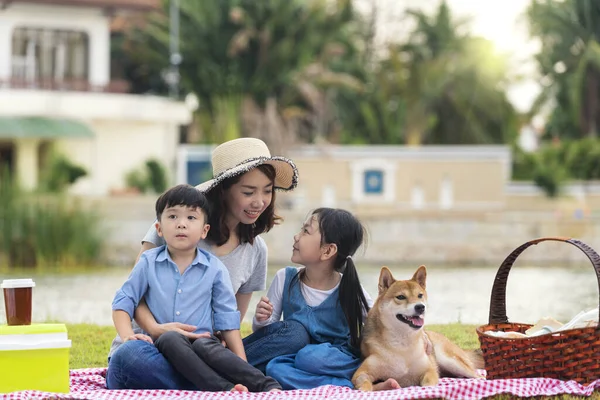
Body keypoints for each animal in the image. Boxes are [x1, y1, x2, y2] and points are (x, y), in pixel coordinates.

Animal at [352, 266, 482, 390]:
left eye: (420, 295)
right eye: (401, 297)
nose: (420, 307)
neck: (402, 345)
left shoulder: (429, 370)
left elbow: (428, 383)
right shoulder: (360, 373)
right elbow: (364, 383)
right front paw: (365, 390)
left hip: (450, 360)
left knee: (479, 376)